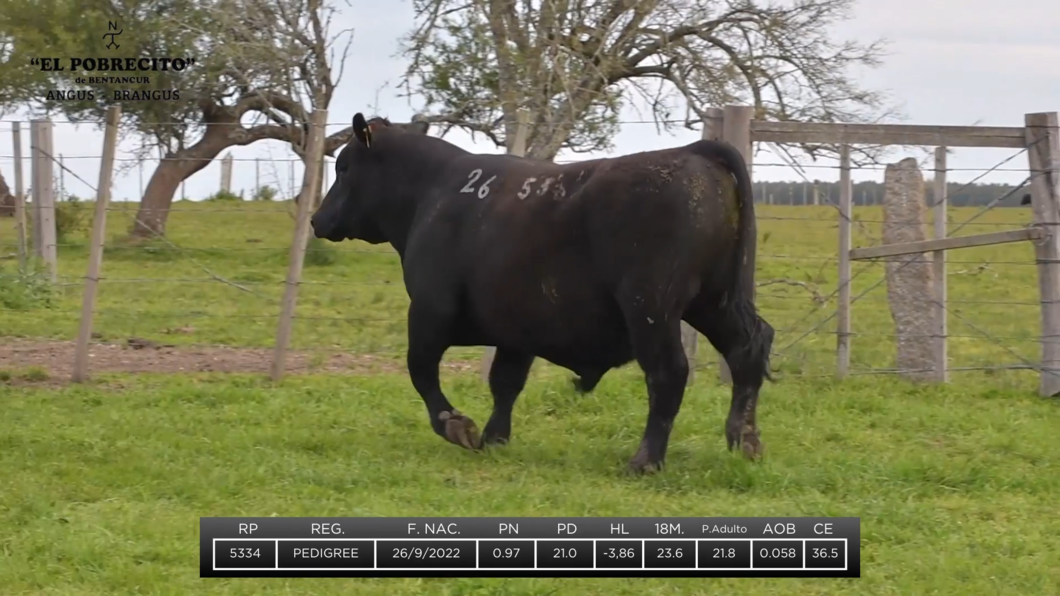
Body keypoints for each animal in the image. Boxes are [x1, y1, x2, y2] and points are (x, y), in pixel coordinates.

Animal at [309, 113, 775, 470]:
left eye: (344, 167)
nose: (316, 219)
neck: (432, 192)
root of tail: (693, 151)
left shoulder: (428, 310)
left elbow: (421, 370)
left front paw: (458, 426)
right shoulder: (517, 328)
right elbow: (505, 382)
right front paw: (494, 438)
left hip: (652, 307)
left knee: (668, 373)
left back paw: (645, 460)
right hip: (713, 302)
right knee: (748, 349)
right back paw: (745, 441)